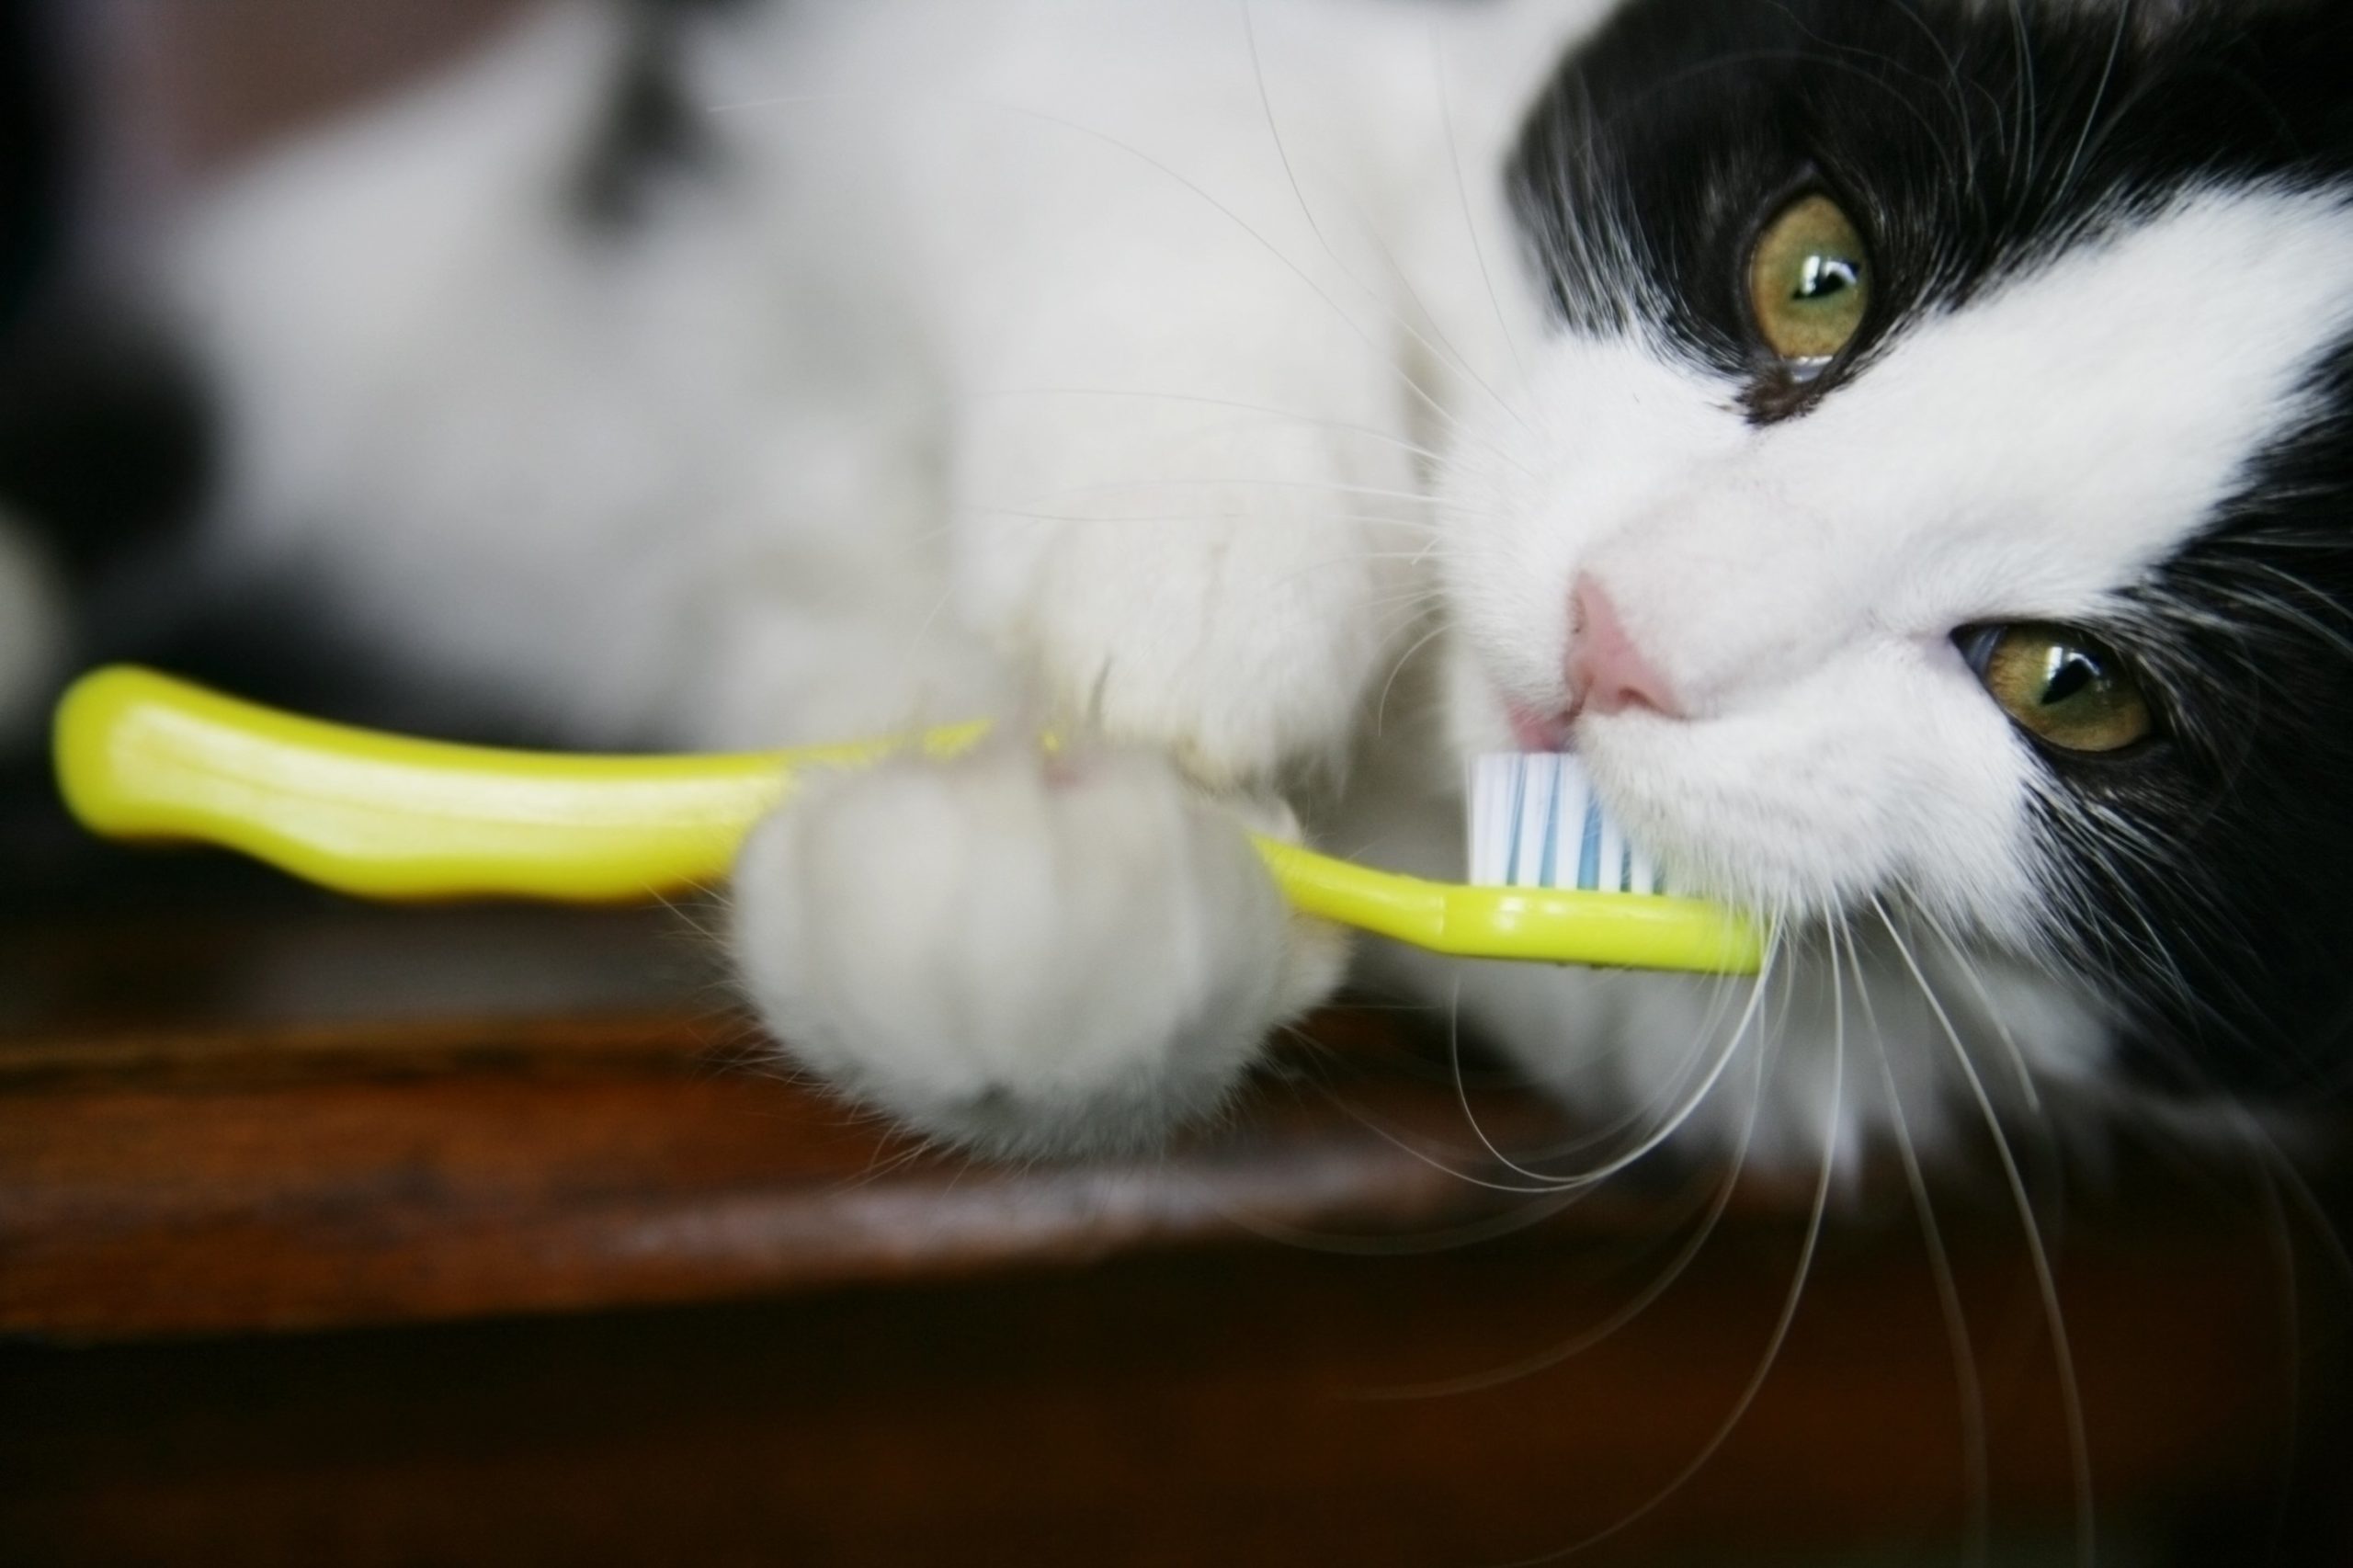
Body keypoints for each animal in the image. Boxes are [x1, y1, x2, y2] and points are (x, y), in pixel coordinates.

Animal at [9, 0, 2343, 1172]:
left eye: (2072, 687)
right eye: (1813, 272)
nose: (1616, 636)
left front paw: (1025, 890)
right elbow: (1142, 115)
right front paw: (1196, 564)